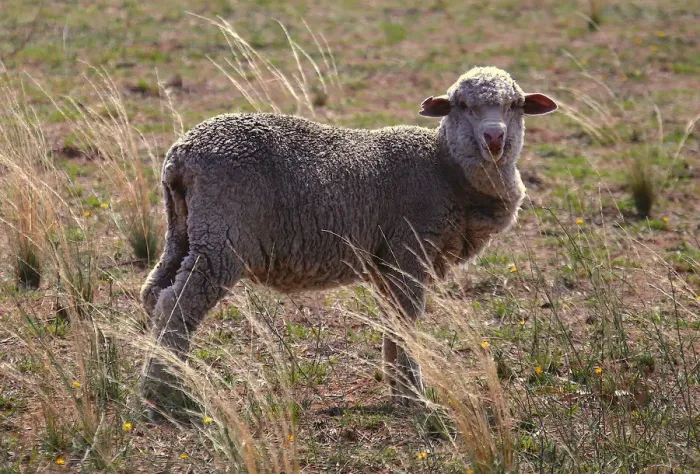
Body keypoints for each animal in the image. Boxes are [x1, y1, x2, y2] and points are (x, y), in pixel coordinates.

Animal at [140, 66, 557, 412]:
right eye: (462, 105)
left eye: (516, 105)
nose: (494, 137)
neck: (445, 168)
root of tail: (182, 154)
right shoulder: (409, 250)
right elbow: (406, 323)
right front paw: (415, 397)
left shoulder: (385, 263)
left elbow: (393, 324)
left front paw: (398, 389)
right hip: (222, 237)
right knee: (177, 303)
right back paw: (168, 391)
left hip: (183, 229)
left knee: (153, 292)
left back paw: (154, 375)